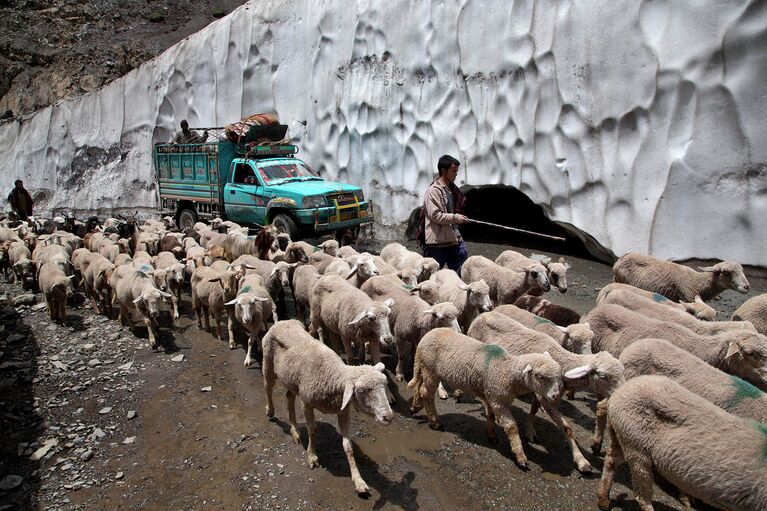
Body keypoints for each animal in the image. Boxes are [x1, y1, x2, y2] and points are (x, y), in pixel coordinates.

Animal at [264, 320, 396, 496]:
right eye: (361, 391)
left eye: (385, 385)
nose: (388, 417)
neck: (331, 375)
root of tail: (282, 322)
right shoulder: (306, 403)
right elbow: (313, 430)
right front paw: (312, 456)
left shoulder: (343, 411)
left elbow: (348, 446)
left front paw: (359, 481)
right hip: (268, 363)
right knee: (268, 387)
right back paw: (270, 411)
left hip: (291, 380)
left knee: (289, 398)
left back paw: (295, 431)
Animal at [408, 328, 564, 472]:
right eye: (540, 377)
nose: (555, 396)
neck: (507, 371)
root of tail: (427, 335)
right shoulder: (498, 401)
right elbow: (511, 427)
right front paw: (520, 457)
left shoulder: (491, 395)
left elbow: (491, 416)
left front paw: (491, 435)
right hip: (430, 370)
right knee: (426, 393)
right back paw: (435, 422)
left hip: (425, 368)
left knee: (419, 387)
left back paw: (416, 406)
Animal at [600, 374, 767, 511]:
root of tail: (620, 391)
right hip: (637, 447)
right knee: (642, 494)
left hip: (622, 435)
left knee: (611, 461)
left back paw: (603, 500)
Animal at [616, 253, 752, 304]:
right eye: (726, 272)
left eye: (742, 270)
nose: (747, 287)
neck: (697, 282)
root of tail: (622, 257)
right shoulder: (688, 298)